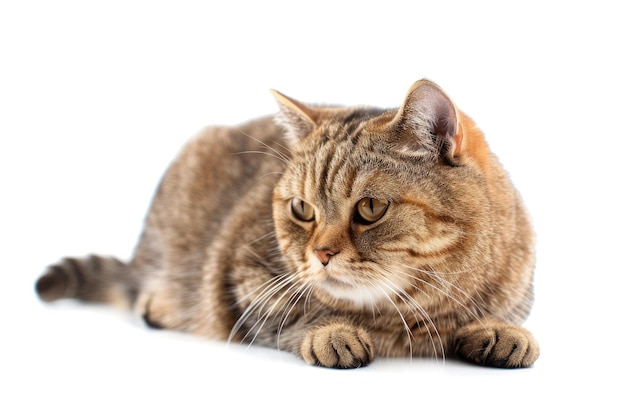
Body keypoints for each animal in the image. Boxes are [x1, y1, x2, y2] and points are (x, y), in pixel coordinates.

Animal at [36, 79, 540, 368]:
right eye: (302, 209)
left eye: (370, 208)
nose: (320, 253)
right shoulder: (246, 280)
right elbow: (300, 313)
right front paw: (332, 332)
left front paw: (501, 331)